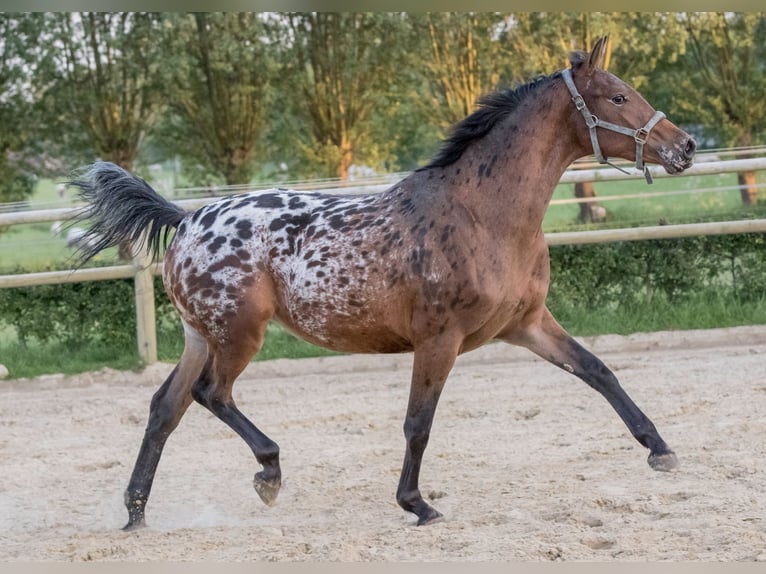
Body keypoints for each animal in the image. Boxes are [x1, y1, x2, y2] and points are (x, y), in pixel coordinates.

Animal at [69, 37, 700, 532]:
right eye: (617, 97)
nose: (684, 146)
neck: (483, 214)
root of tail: (187, 220)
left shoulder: (527, 324)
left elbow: (598, 371)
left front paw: (662, 451)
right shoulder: (439, 340)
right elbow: (418, 424)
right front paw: (416, 504)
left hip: (202, 337)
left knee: (164, 408)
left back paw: (135, 513)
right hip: (239, 336)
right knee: (211, 395)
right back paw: (268, 473)